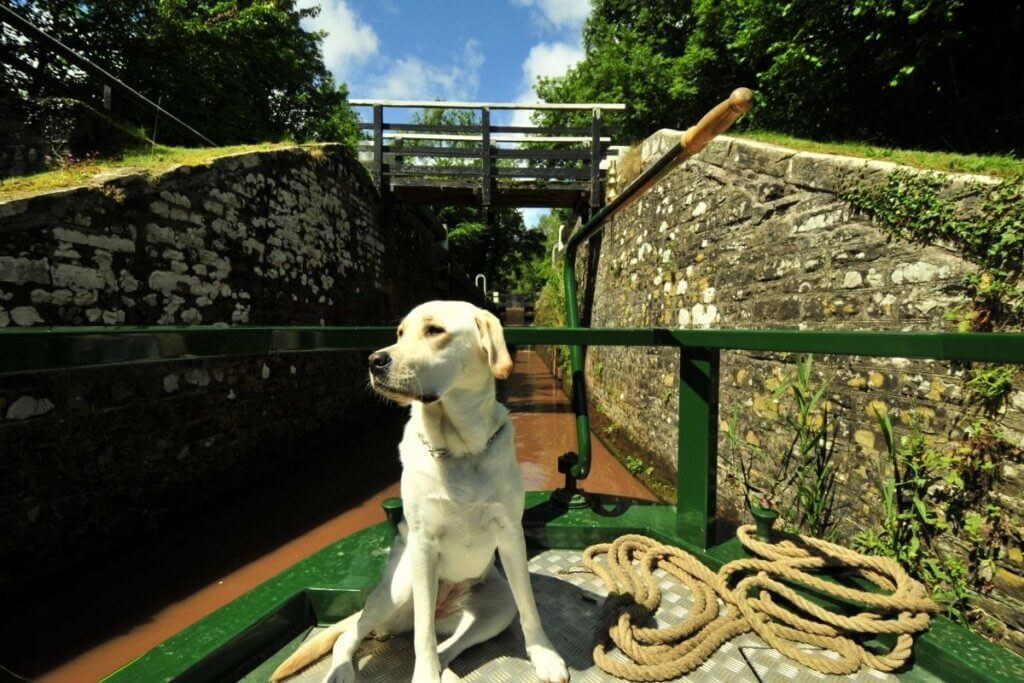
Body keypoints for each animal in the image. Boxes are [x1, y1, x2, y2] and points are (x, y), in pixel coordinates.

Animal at [272, 303, 569, 683]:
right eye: (399, 333)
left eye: (434, 331)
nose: (374, 360)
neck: (460, 451)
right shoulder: (424, 544)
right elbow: (423, 636)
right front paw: (424, 676)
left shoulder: (511, 535)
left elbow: (529, 605)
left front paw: (545, 655)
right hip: (401, 586)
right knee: (357, 633)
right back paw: (342, 671)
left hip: (497, 608)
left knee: (448, 645)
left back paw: (449, 673)